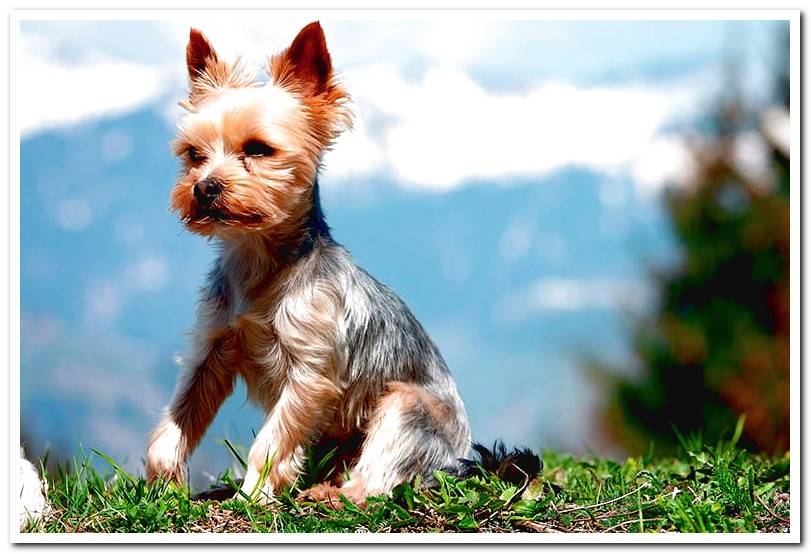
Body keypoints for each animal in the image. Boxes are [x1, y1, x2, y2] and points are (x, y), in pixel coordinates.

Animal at [146, 22, 476, 504]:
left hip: (407, 408)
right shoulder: (212, 347)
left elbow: (272, 439)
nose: (204, 187)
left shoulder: (310, 373)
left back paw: (332, 493)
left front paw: (253, 496)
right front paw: (164, 483)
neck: (259, 262)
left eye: (259, 149)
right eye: (193, 154)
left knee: (378, 480)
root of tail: (464, 456)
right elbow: (178, 417)